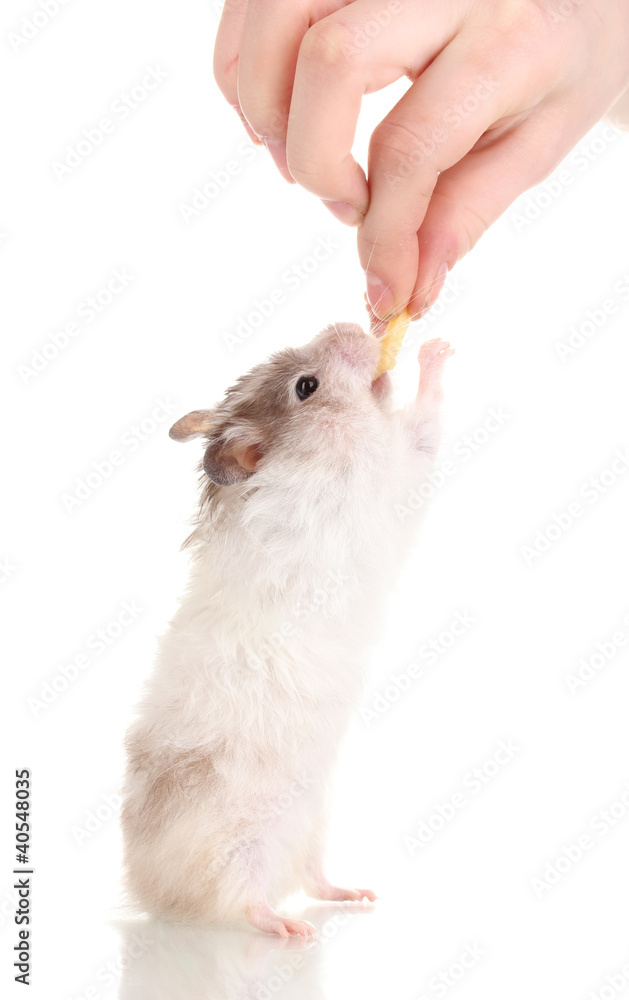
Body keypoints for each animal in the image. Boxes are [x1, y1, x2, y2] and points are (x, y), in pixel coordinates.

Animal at [119, 320, 452, 936]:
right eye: (306, 386)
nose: (351, 324)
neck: (314, 454)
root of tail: (158, 898)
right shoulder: (394, 475)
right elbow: (425, 423)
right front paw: (434, 349)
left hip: (315, 822)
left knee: (312, 878)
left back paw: (356, 895)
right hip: (240, 845)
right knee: (243, 900)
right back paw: (289, 929)